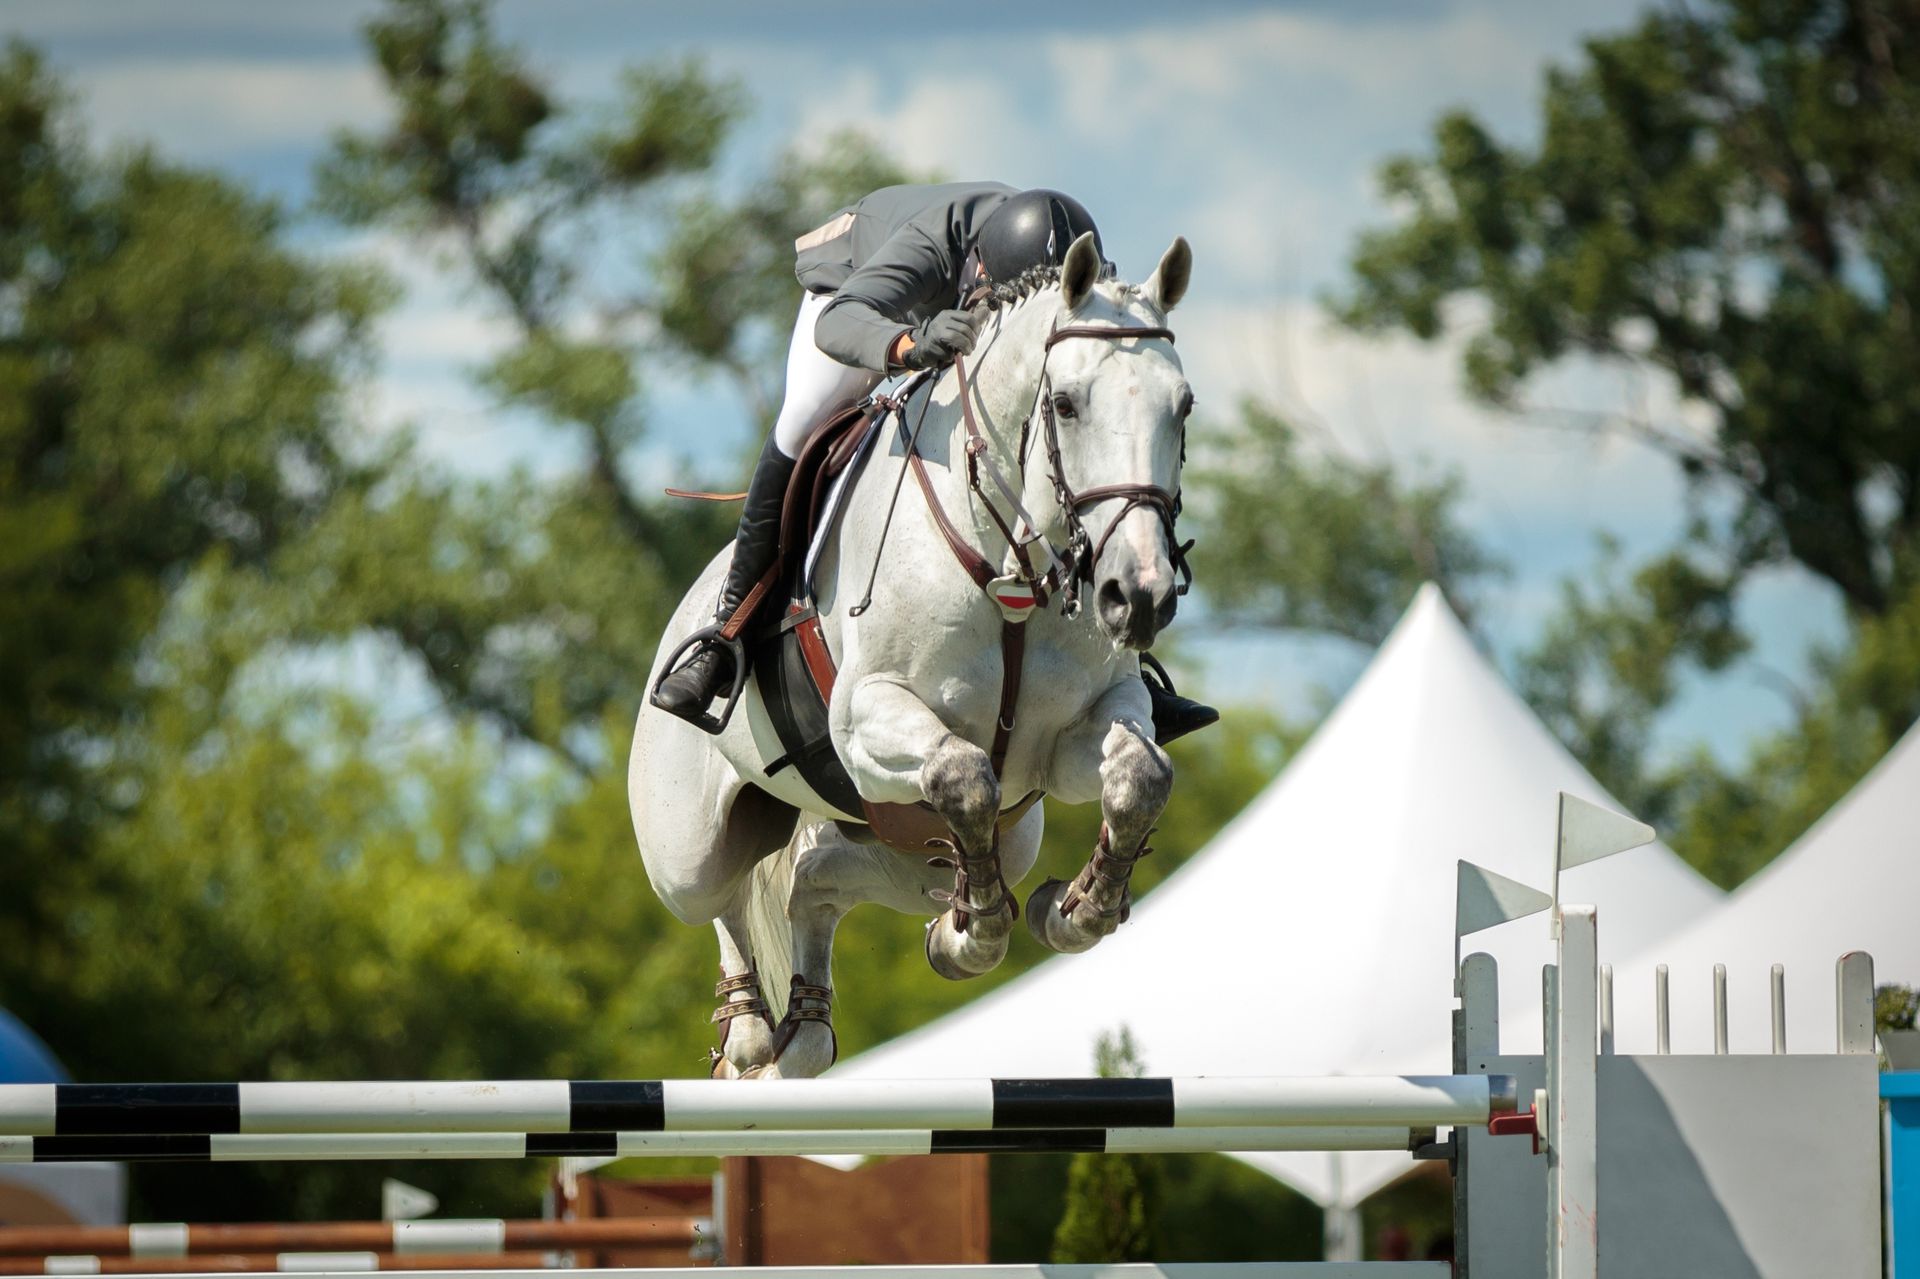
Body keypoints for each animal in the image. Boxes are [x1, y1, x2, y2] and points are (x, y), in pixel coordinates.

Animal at [629, 231, 1190, 1075]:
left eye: (1182, 406)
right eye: (1066, 403)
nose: (1141, 595)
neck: (1010, 570)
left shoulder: (1072, 736)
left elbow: (1139, 775)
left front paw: (1072, 907)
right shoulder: (868, 719)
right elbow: (964, 774)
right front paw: (978, 927)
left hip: (917, 839)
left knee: (814, 880)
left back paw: (809, 1023)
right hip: (689, 848)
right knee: (720, 897)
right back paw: (751, 1029)